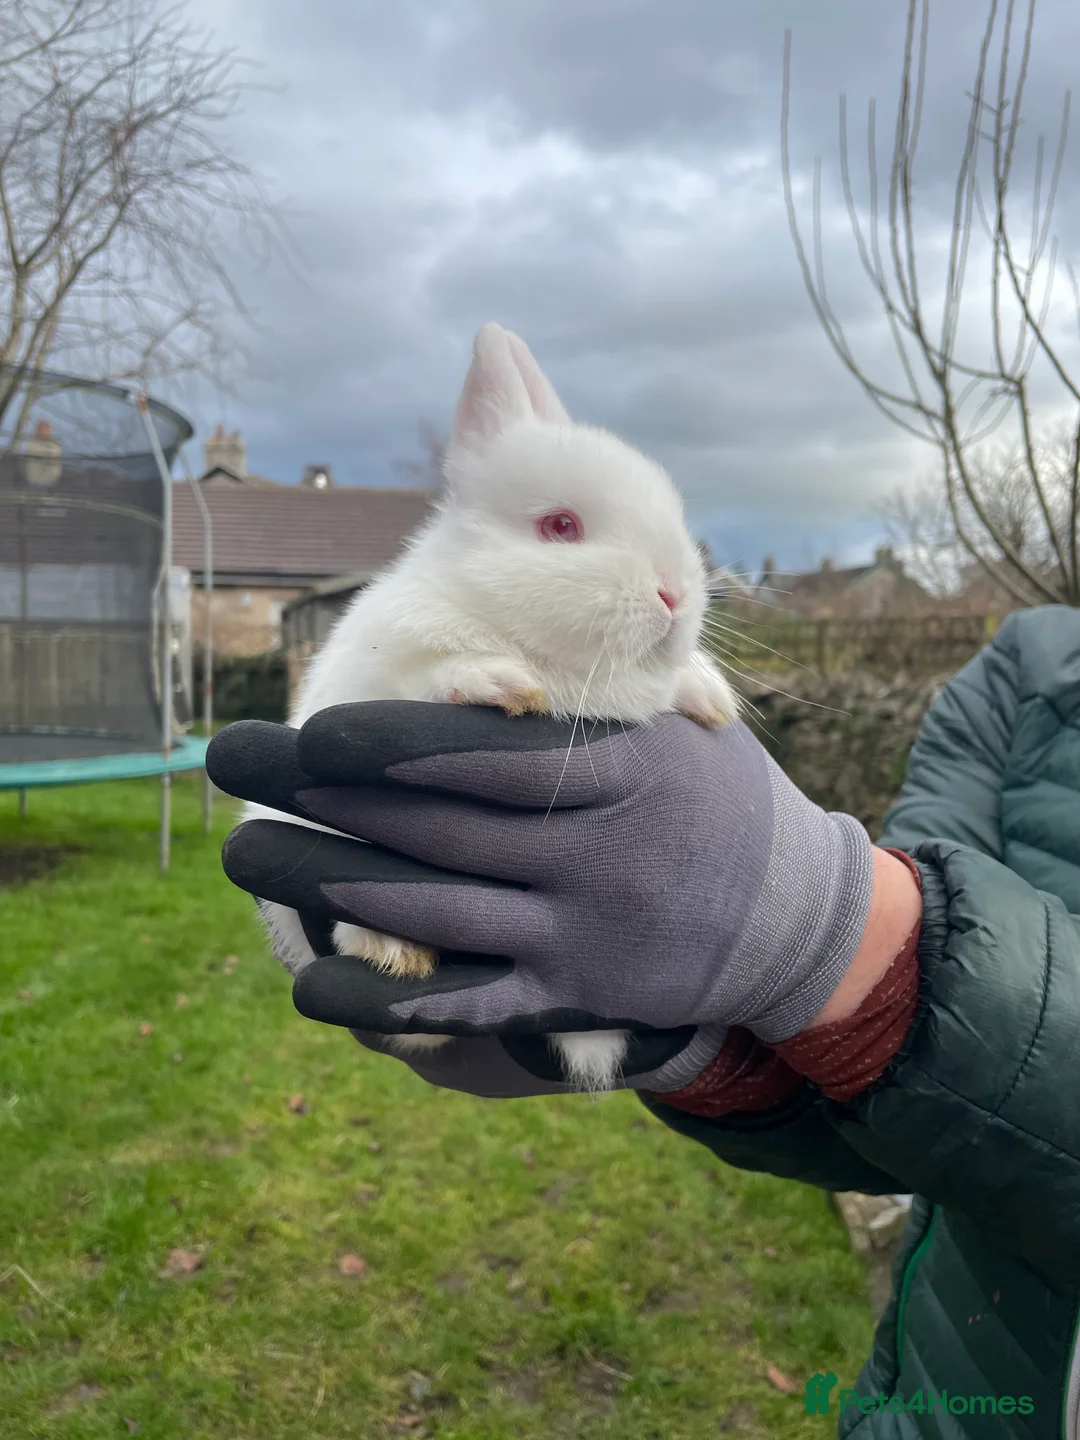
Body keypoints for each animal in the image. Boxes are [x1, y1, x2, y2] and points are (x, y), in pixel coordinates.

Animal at [246, 321, 738, 1091]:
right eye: (561, 526)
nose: (675, 596)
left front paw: (712, 697)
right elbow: (436, 675)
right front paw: (500, 683)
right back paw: (394, 954)